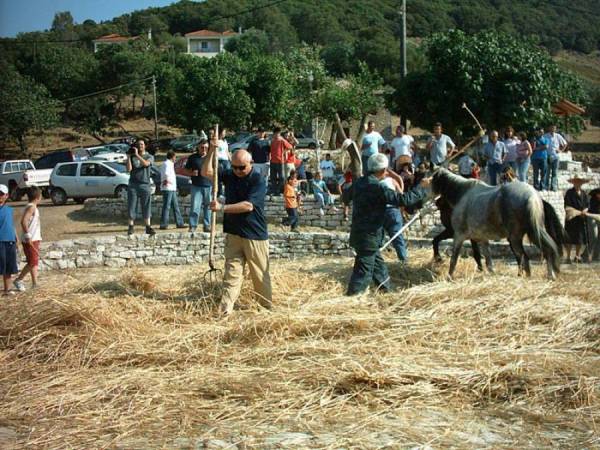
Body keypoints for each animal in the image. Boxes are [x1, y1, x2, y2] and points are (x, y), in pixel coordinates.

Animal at [432, 168, 564, 278]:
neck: (463, 194)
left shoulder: (459, 235)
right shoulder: (481, 238)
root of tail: (532, 196)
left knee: (524, 258)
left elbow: (454, 258)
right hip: (532, 233)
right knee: (545, 251)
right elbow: (487, 259)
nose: (436, 202)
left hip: (516, 238)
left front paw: (448, 276)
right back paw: (549, 275)